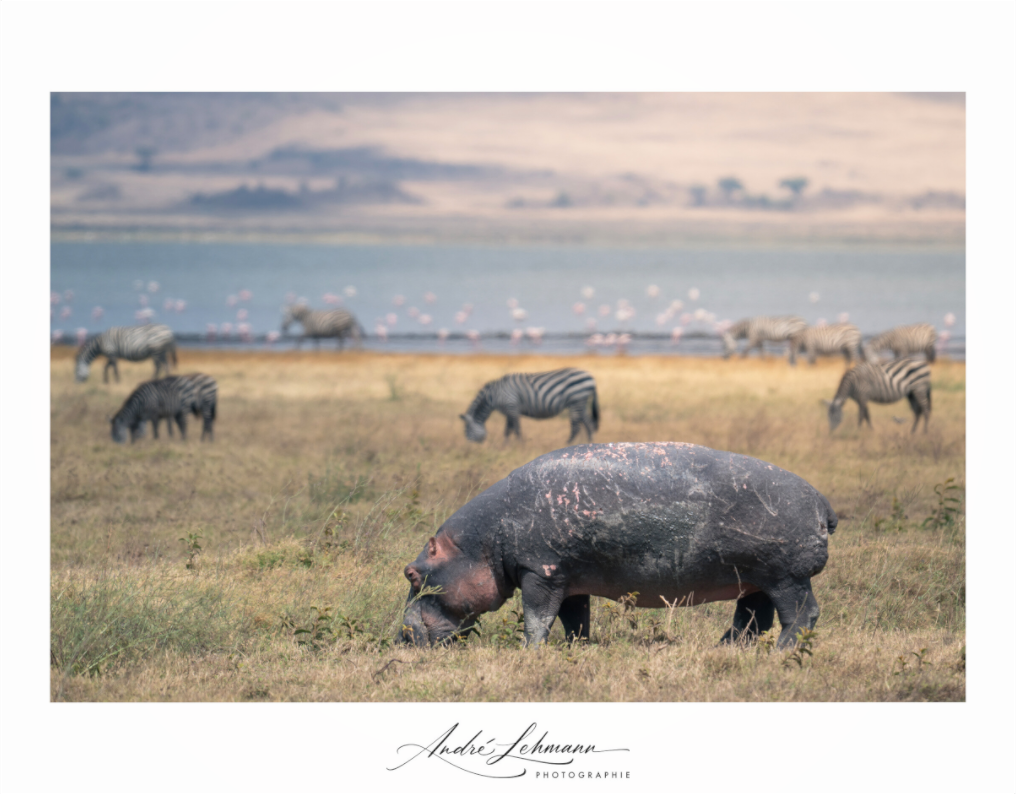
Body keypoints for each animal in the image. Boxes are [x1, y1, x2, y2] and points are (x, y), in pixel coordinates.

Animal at [399, 442, 837, 650]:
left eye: (411, 574)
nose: (401, 636)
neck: (484, 542)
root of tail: (821, 499)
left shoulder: (540, 573)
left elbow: (537, 619)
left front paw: (528, 652)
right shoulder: (568, 578)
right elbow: (575, 621)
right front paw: (576, 651)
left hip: (786, 577)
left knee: (800, 615)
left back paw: (780, 652)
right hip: (754, 577)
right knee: (751, 619)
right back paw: (725, 650)